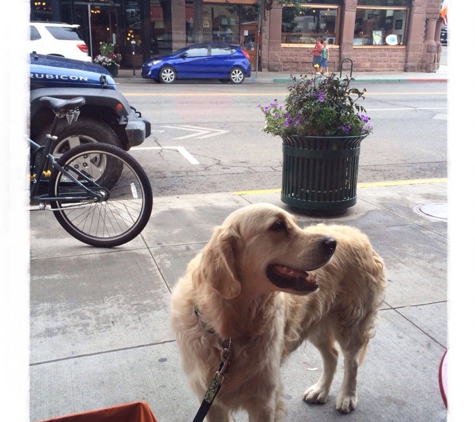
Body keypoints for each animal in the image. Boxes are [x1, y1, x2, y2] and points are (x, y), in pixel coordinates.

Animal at [171, 203, 386, 420]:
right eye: (278, 225)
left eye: (294, 222)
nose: (332, 243)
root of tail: (358, 234)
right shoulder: (212, 402)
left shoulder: (264, 400)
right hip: (315, 322)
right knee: (332, 355)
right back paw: (320, 391)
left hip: (350, 323)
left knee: (352, 361)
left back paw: (347, 396)